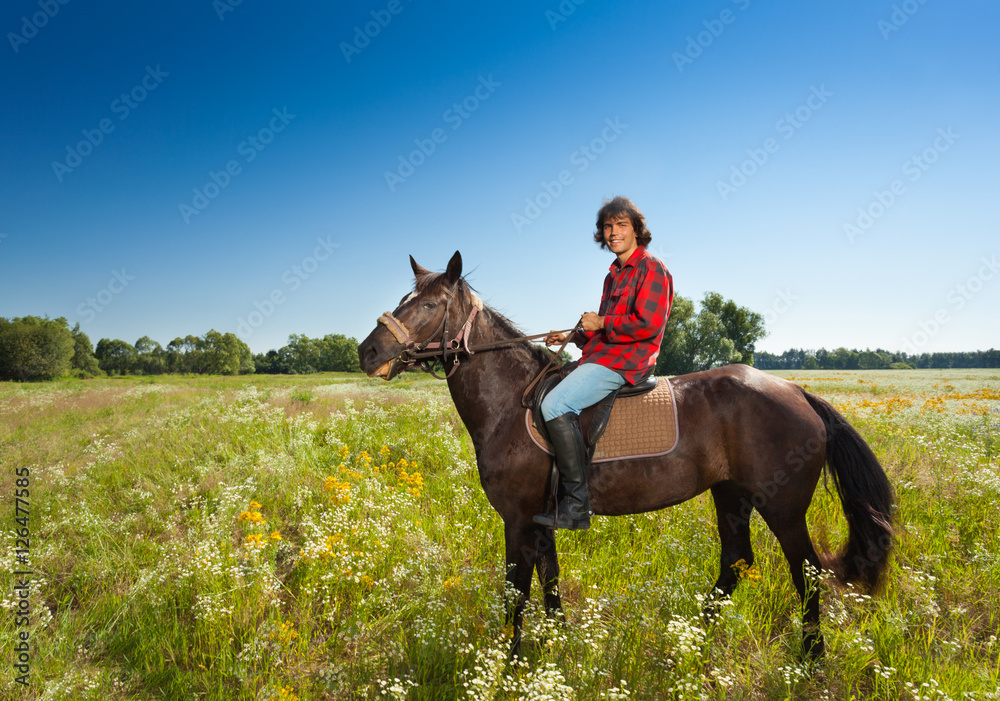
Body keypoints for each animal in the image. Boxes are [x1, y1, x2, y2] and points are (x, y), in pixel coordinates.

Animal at [358, 252, 892, 656]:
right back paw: (689, 642)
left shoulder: (518, 519)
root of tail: (797, 391)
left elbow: (517, 594)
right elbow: (550, 584)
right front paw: (558, 650)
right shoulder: (542, 518)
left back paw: (809, 659)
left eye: (428, 305)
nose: (367, 353)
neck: (510, 401)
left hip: (782, 507)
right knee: (736, 562)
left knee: (806, 573)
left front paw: (508, 665)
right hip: (730, 494)